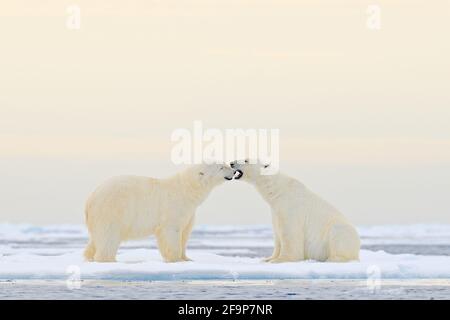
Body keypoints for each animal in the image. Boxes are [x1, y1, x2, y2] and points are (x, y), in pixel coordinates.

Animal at [83, 162, 236, 262]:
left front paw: (186, 258)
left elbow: (185, 232)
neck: (186, 190)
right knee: (109, 236)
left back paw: (89, 256)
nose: (234, 171)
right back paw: (108, 259)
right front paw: (175, 259)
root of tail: (91, 198)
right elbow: (172, 232)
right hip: (113, 209)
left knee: (97, 238)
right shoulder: (173, 208)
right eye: (222, 167)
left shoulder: (189, 212)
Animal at [230, 160, 360, 262]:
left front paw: (280, 260)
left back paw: (333, 258)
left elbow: (289, 234)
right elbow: (277, 234)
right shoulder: (276, 210)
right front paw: (268, 259)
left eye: (246, 160)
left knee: (338, 236)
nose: (231, 163)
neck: (279, 191)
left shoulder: (290, 208)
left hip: (339, 231)